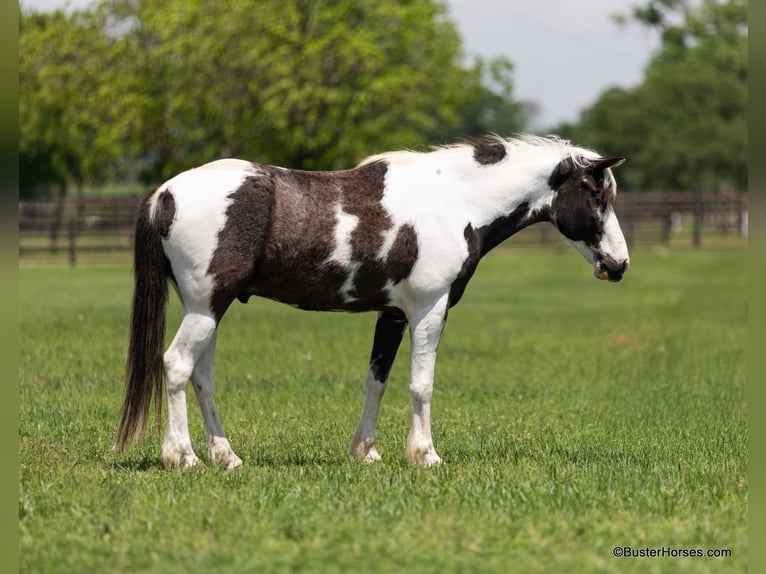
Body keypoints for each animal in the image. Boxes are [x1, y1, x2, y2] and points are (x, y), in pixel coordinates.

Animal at [117, 134, 629, 469]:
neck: (455, 201)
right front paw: (425, 455)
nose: (619, 265)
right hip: (205, 308)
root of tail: (164, 193)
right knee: (176, 365)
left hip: (209, 308)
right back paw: (182, 457)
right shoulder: (428, 311)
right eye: (595, 194)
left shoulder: (392, 315)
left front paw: (367, 452)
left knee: (202, 375)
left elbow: (375, 382)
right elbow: (421, 385)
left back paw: (226, 457)